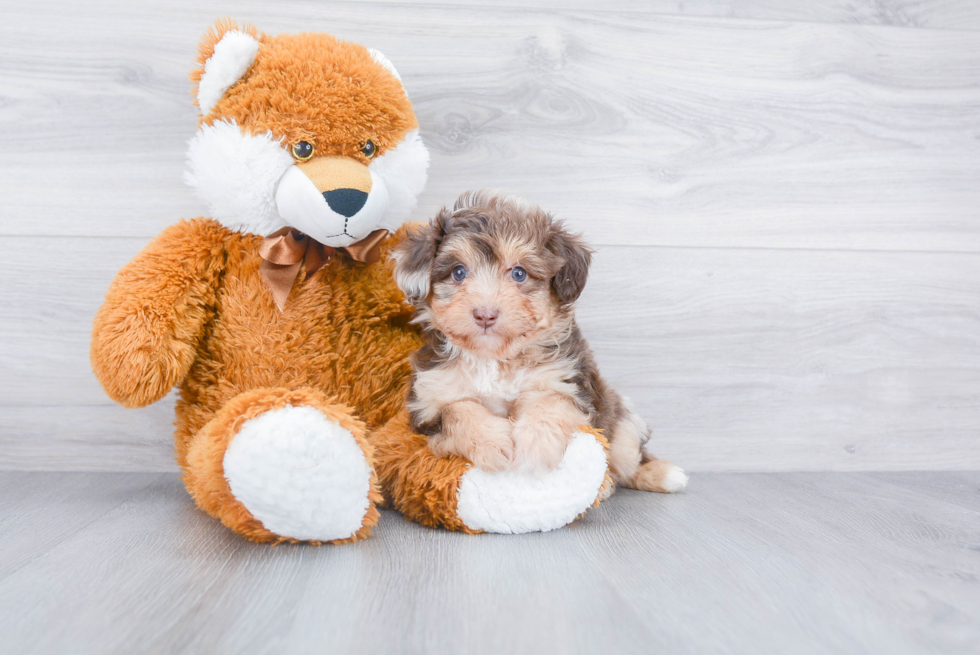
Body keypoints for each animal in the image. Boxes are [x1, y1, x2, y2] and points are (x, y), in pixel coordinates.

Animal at [392, 192, 688, 494]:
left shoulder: (567, 383)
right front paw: (492, 443)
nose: (485, 314)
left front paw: (536, 447)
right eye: (458, 272)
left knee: (626, 460)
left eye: (519, 274)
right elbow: (456, 410)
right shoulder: (427, 404)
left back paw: (658, 475)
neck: (496, 359)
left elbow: (550, 402)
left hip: (622, 422)